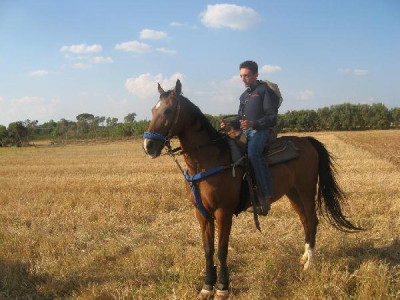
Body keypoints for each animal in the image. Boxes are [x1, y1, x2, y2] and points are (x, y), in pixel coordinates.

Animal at [143, 79, 360, 300]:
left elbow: (221, 250)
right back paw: (304, 257)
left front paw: (222, 288)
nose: (148, 145)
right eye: (153, 110)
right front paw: (207, 286)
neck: (208, 160)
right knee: (305, 221)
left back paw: (310, 263)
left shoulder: (223, 212)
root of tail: (307, 140)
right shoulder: (201, 213)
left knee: (313, 220)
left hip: (306, 190)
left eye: (168, 110)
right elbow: (208, 250)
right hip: (293, 193)